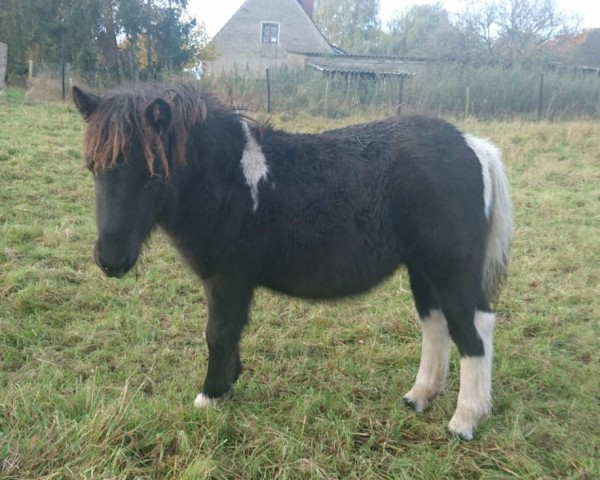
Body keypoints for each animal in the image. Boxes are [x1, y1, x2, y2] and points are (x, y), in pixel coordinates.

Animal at [74, 83, 516, 438]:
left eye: (153, 174)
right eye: (92, 167)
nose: (110, 260)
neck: (226, 179)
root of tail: (474, 146)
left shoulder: (227, 279)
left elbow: (218, 332)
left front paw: (209, 395)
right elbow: (230, 332)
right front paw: (227, 385)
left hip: (450, 270)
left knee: (474, 329)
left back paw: (464, 420)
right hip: (422, 271)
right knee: (436, 325)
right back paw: (419, 397)